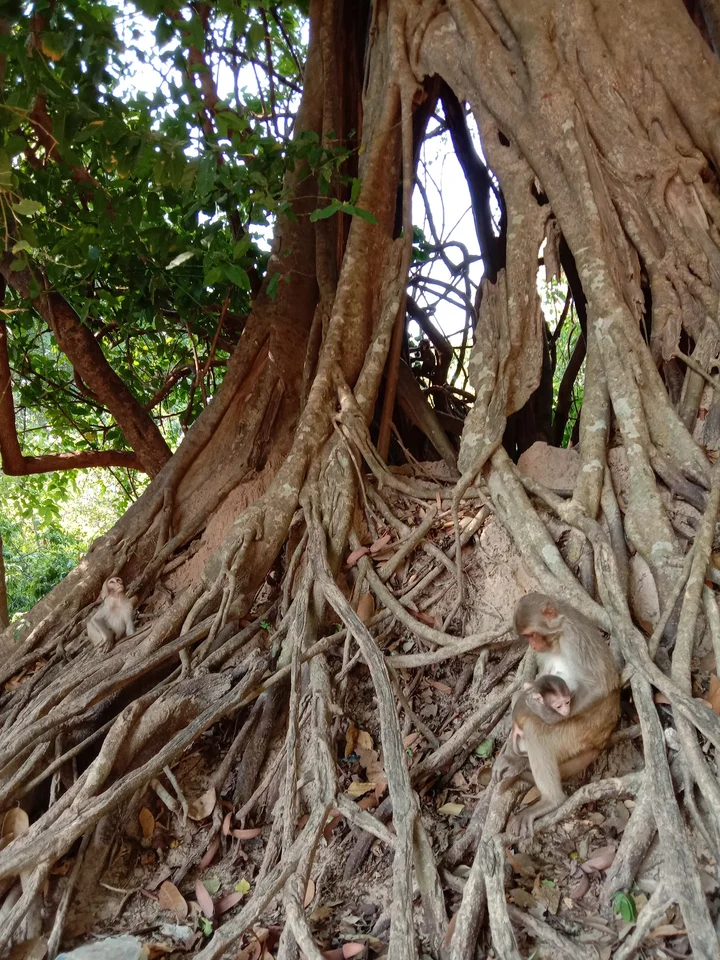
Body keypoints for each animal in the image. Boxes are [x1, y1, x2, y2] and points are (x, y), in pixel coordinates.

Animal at [498, 593, 620, 836]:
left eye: (532, 635)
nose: (533, 645)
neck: (559, 633)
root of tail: (602, 739)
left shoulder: (575, 638)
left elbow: (599, 686)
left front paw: (548, 715)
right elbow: (535, 683)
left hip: (581, 733)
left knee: (536, 731)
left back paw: (551, 801)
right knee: (518, 699)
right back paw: (519, 760)